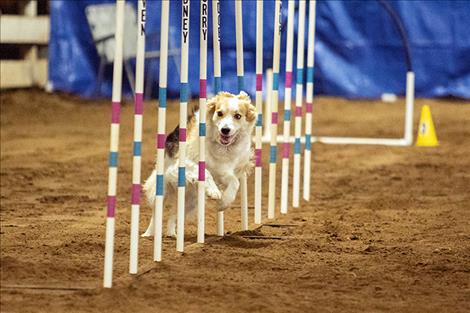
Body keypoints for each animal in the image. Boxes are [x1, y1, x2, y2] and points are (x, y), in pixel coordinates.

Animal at [142, 91, 255, 236]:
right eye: (219, 113)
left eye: (238, 116)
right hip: (162, 187)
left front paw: (223, 202)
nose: (225, 130)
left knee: (175, 214)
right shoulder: (179, 165)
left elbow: (235, 182)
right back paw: (149, 234)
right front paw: (213, 191)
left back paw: (172, 233)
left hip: (191, 201)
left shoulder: (223, 171)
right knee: (156, 212)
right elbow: (204, 171)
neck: (219, 145)